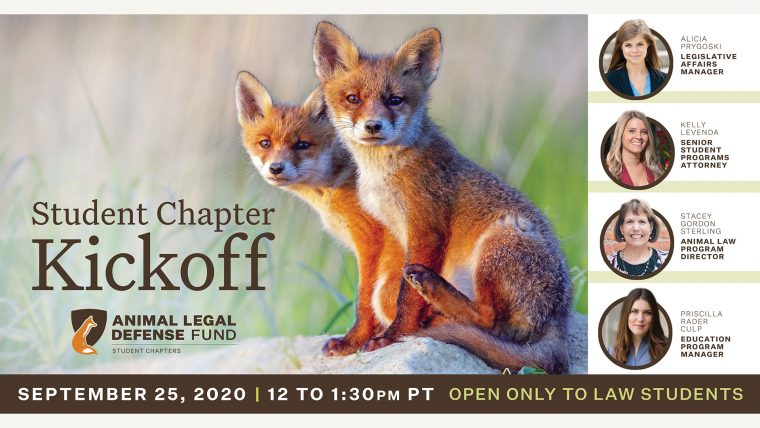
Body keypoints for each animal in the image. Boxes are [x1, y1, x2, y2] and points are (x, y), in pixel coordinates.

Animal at [235, 71, 406, 356]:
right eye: (265, 143)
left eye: (302, 144)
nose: (276, 168)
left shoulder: (370, 239)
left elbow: (363, 300)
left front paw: (353, 341)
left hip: (387, 288)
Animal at [312, 22, 572, 373]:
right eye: (353, 99)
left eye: (395, 100)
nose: (373, 126)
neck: (383, 174)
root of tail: (562, 319)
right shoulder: (388, 233)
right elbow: (368, 296)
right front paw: (354, 340)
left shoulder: (426, 227)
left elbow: (405, 299)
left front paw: (392, 336)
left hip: (499, 243)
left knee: (490, 321)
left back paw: (433, 292)